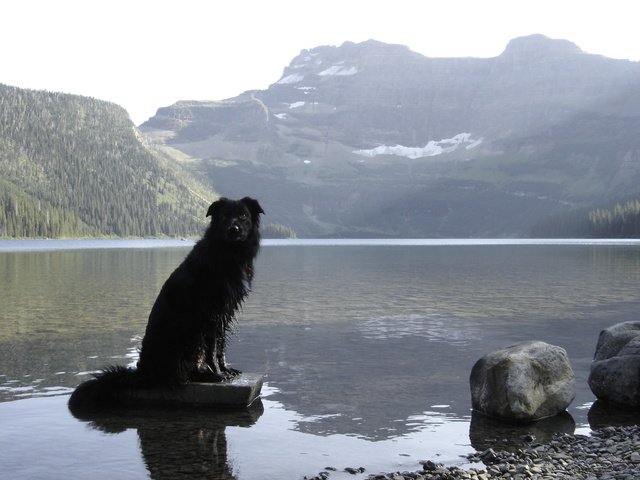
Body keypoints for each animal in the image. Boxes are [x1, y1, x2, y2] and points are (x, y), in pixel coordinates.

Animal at [67, 196, 262, 408]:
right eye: (225, 216)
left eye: (243, 215)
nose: (234, 229)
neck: (229, 252)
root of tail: (143, 373)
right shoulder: (211, 313)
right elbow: (212, 349)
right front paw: (218, 374)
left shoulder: (226, 312)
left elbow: (221, 346)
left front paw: (226, 369)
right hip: (187, 332)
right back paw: (205, 375)